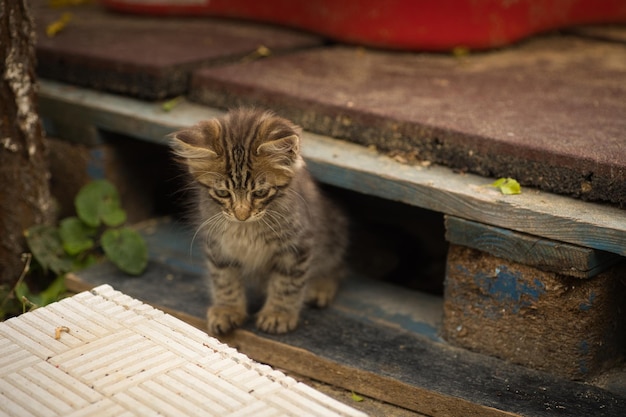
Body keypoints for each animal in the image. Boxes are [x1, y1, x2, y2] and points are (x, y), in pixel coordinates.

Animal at [171, 108, 346, 334]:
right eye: (222, 193)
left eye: (260, 192)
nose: (241, 215)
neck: (246, 229)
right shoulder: (217, 246)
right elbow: (224, 279)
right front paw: (228, 309)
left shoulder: (298, 245)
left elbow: (287, 284)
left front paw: (278, 314)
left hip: (333, 233)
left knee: (337, 266)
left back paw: (321, 286)